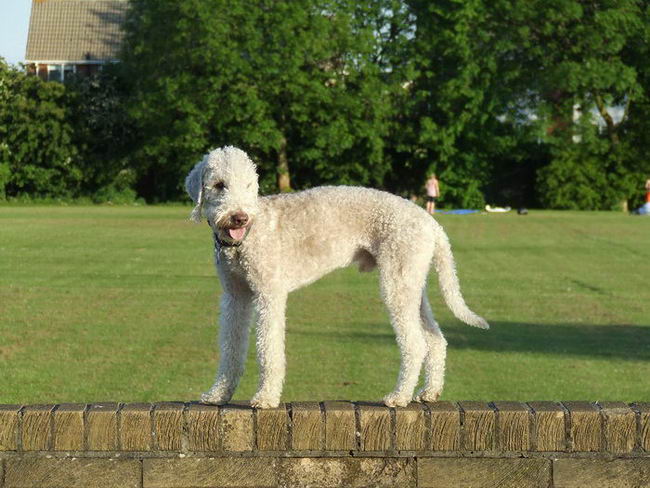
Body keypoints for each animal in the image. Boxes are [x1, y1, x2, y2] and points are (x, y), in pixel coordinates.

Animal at [184, 145, 486, 408]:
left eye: (249, 185)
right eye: (219, 184)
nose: (240, 217)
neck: (245, 240)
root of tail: (432, 223)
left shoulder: (268, 293)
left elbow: (268, 350)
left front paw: (266, 398)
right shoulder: (235, 296)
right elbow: (231, 348)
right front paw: (218, 394)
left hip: (397, 281)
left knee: (415, 344)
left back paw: (399, 397)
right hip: (411, 280)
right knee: (435, 338)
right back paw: (429, 392)